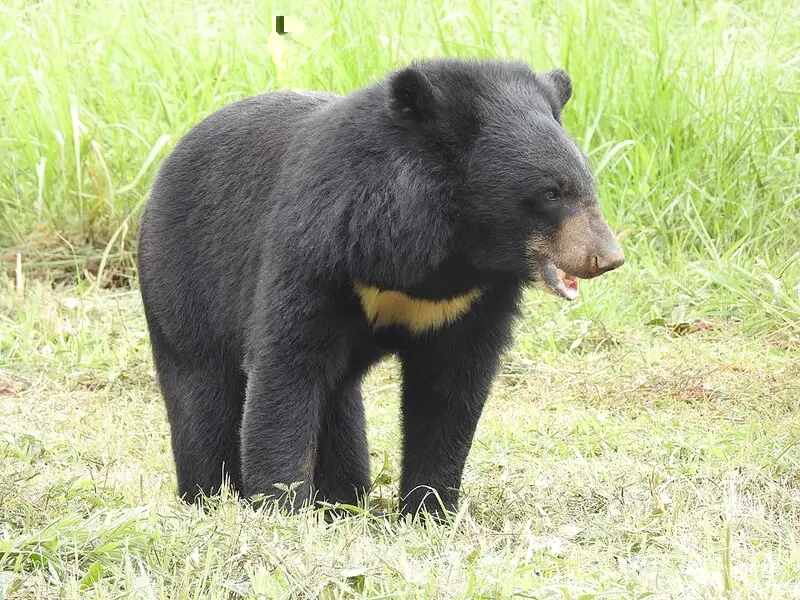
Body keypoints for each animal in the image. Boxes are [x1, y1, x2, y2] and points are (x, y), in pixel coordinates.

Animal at [138, 59, 624, 520]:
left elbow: (450, 388)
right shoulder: (321, 249)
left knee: (340, 406)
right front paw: (279, 508)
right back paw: (208, 496)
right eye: (551, 192)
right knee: (203, 394)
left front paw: (431, 510)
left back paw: (343, 500)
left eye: (587, 186)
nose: (608, 257)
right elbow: (287, 366)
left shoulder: (470, 301)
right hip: (183, 284)